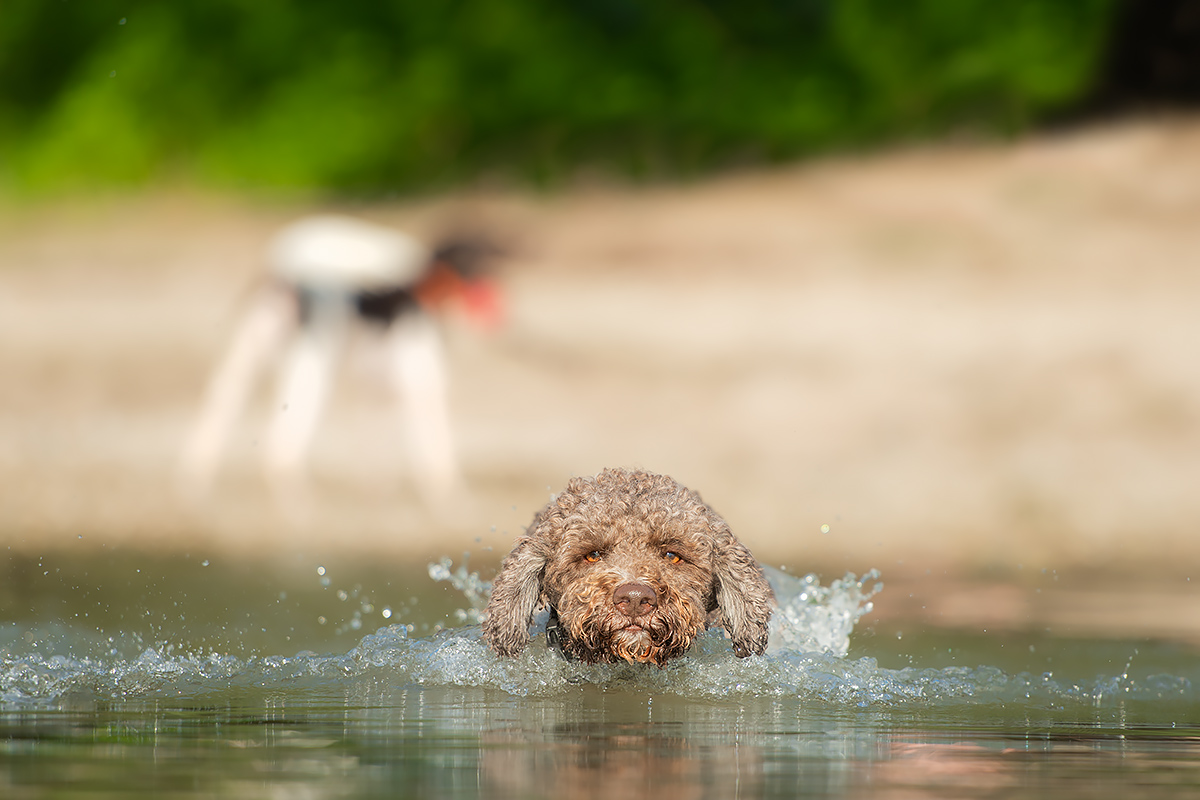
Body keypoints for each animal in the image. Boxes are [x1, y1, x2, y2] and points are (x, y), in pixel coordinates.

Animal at [175, 215, 499, 510]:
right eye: (475, 255)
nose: (495, 307)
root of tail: (283, 265)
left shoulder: (379, 386)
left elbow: (374, 443)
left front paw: (377, 489)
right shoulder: (423, 387)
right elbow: (437, 452)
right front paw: (450, 500)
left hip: (251, 354)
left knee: (221, 404)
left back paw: (196, 487)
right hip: (313, 370)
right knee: (280, 445)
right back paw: (296, 504)